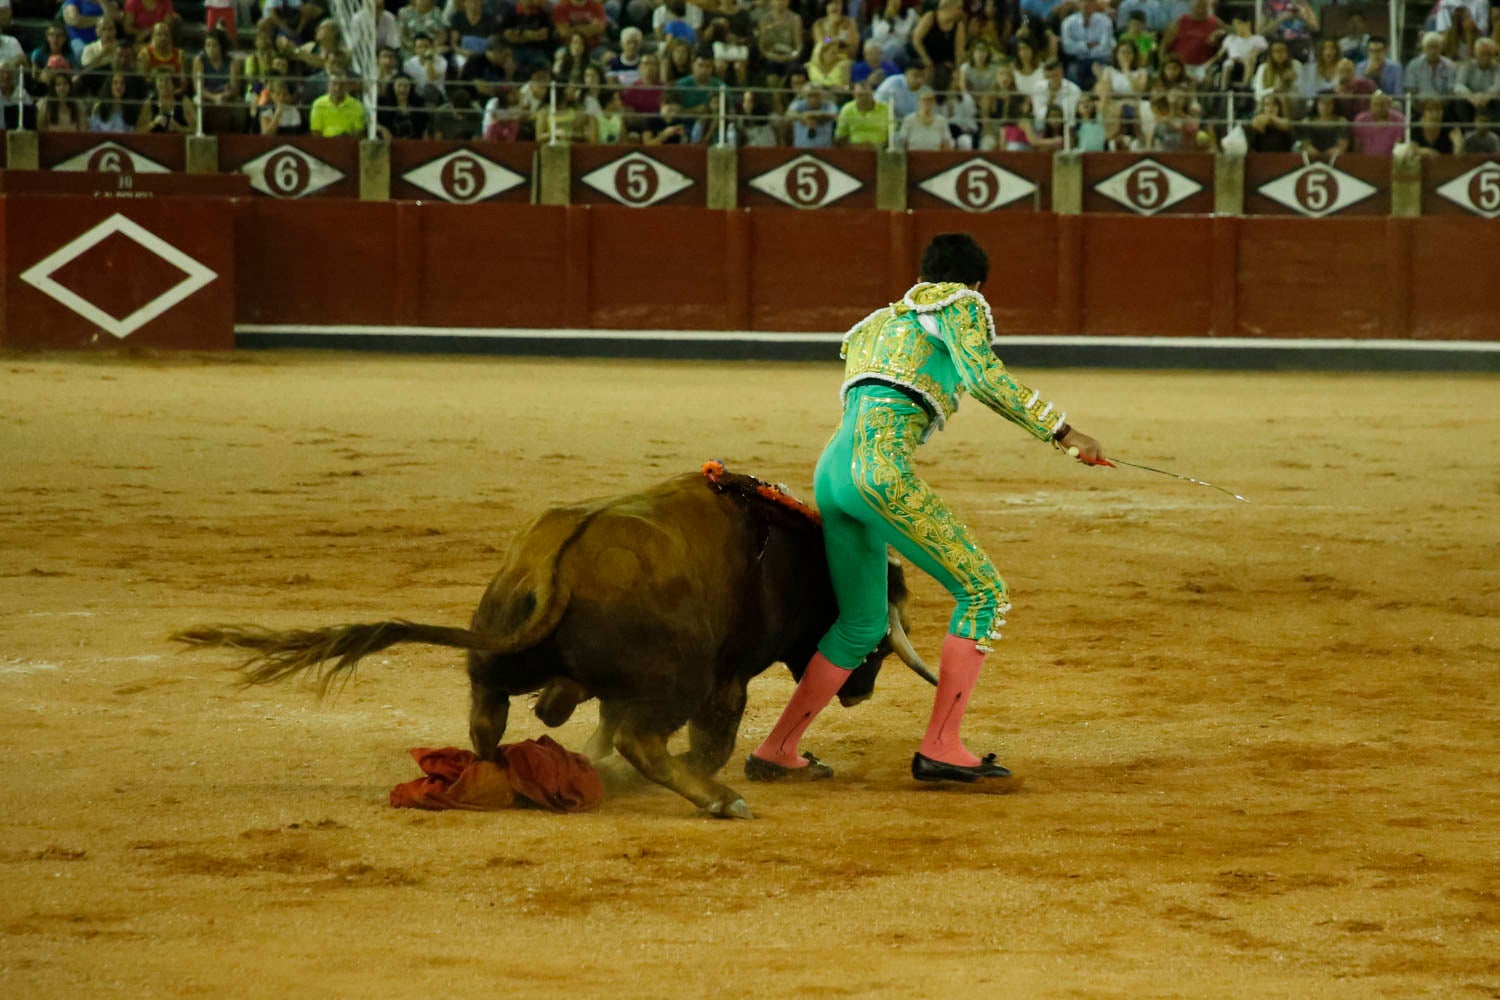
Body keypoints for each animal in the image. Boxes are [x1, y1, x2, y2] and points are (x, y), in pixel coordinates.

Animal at [170, 470, 930, 821]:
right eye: (879, 646)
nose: (859, 694)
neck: (798, 556)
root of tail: (557, 559)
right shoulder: (727, 678)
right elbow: (705, 737)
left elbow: (590, 718)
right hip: (677, 675)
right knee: (641, 741)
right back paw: (717, 801)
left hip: (498, 651)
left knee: (487, 718)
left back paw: (503, 772)